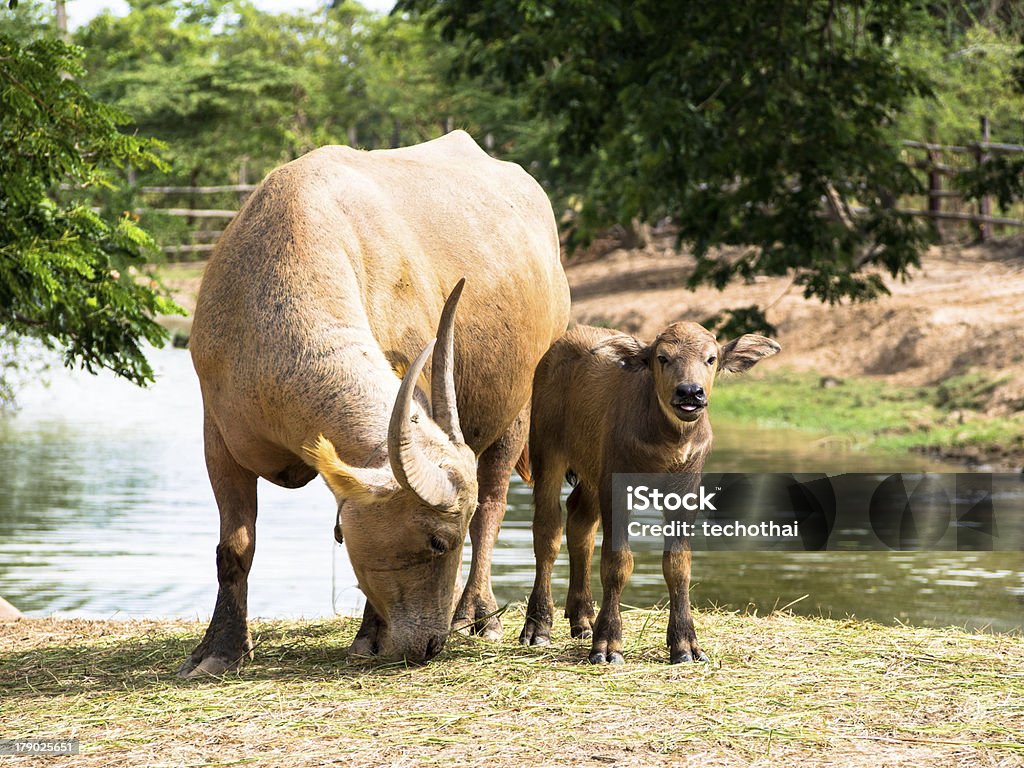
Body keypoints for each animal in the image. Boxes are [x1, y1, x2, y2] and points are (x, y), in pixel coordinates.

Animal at [180, 131, 573, 671]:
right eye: (436, 541)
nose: (430, 646)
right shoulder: (217, 434)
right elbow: (235, 546)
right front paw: (219, 649)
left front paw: (368, 636)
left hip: (519, 414)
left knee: (495, 506)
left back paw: (483, 614)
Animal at [516, 321, 778, 663]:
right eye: (663, 358)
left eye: (711, 359)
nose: (690, 392)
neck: (667, 440)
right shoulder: (616, 486)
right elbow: (617, 562)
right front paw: (607, 644)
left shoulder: (684, 489)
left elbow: (678, 564)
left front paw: (685, 645)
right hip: (548, 451)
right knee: (548, 531)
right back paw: (537, 627)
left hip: (591, 473)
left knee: (580, 523)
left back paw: (583, 619)